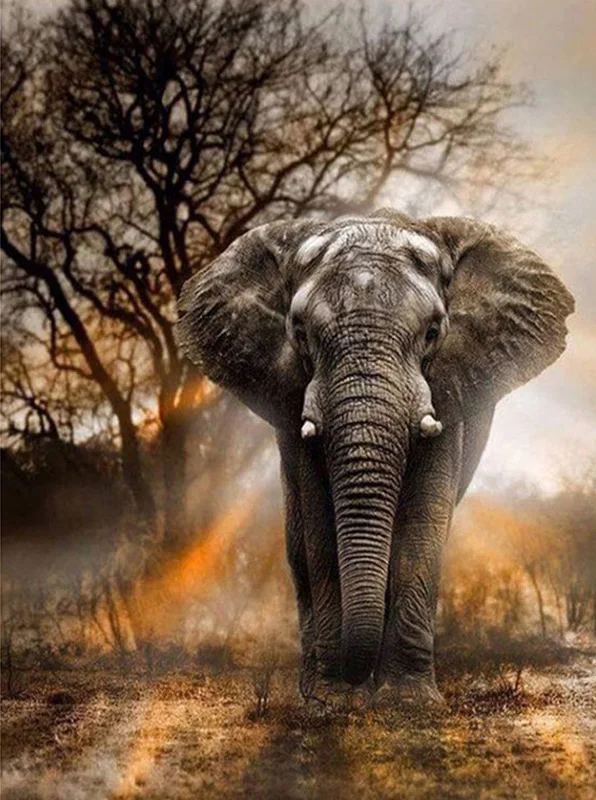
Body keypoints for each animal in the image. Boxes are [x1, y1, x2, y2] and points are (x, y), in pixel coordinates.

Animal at [177, 208, 574, 704]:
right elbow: (320, 525)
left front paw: (408, 702)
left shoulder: (447, 391)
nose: (353, 679)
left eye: (432, 332)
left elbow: (423, 521)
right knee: (297, 546)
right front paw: (331, 701)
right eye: (300, 334)